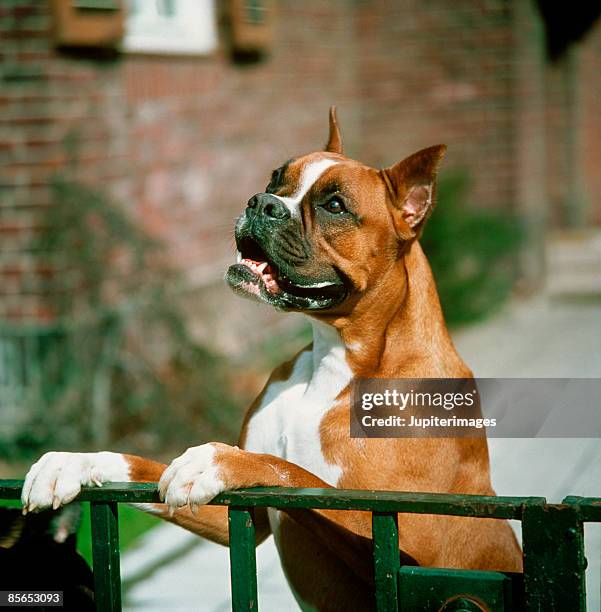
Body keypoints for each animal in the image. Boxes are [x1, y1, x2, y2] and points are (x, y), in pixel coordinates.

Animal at [22, 107, 520, 608]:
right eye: (276, 178)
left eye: (334, 206)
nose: (262, 202)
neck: (335, 360)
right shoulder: (240, 518)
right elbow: (144, 469)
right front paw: (73, 462)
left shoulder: (406, 544)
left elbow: (293, 471)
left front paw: (219, 460)